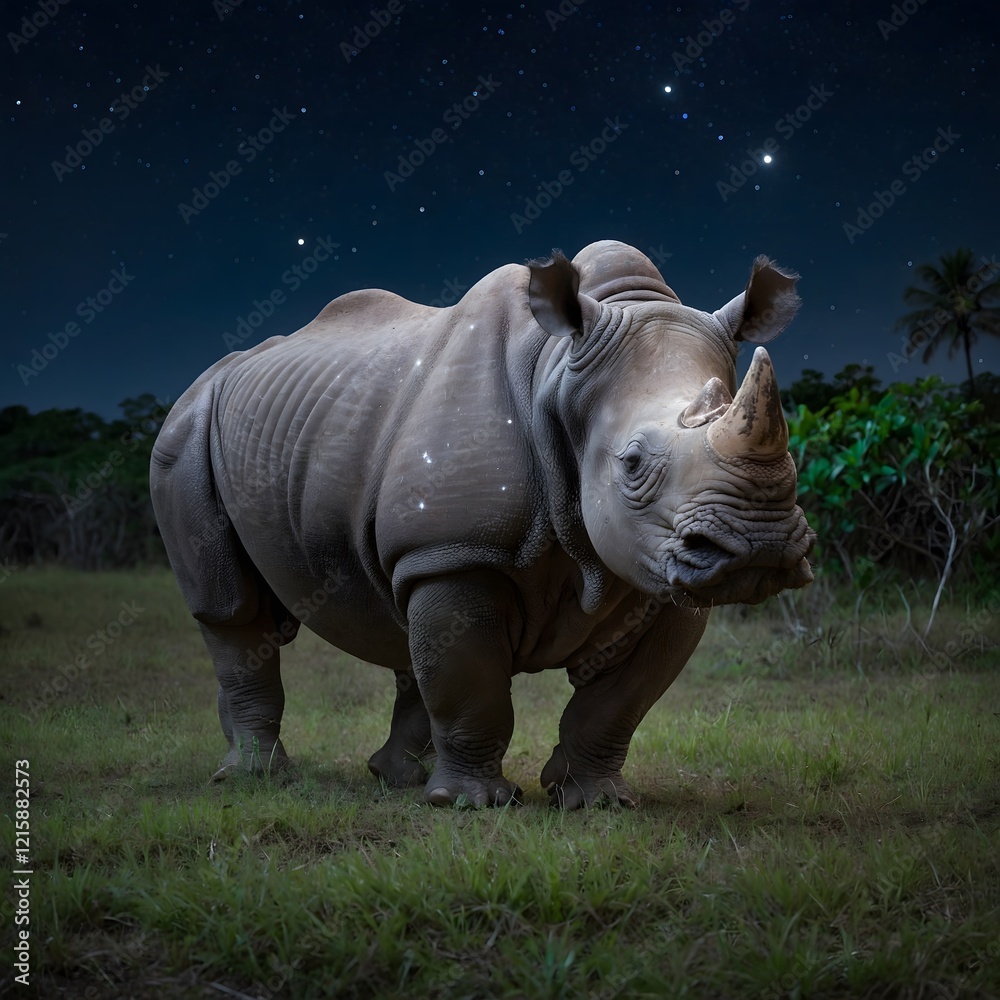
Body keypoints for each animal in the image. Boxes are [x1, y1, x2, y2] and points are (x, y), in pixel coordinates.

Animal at [150, 240, 814, 809]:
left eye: (795, 461)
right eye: (631, 464)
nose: (759, 547)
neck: (561, 373)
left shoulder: (661, 570)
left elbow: (618, 702)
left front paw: (596, 801)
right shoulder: (457, 545)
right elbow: (473, 684)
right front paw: (471, 805)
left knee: (403, 616)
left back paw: (395, 779)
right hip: (186, 426)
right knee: (231, 611)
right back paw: (256, 778)